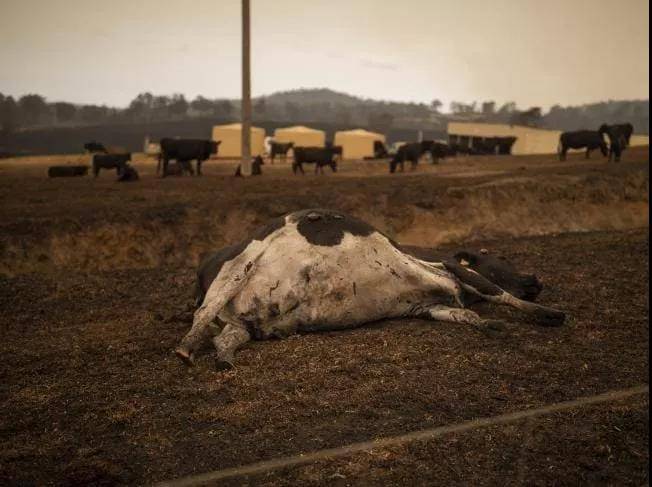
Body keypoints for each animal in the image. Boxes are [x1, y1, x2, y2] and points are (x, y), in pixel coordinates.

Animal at [176, 210, 564, 370]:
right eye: (495, 257)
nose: (536, 279)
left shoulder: (430, 305)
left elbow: (464, 314)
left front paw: (489, 324)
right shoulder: (450, 270)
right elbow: (496, 292)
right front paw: (549, 314)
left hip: (239, 319)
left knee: (223, 336)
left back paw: (224, 358)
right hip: (239, 266)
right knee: (201, 317)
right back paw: (185, 350)